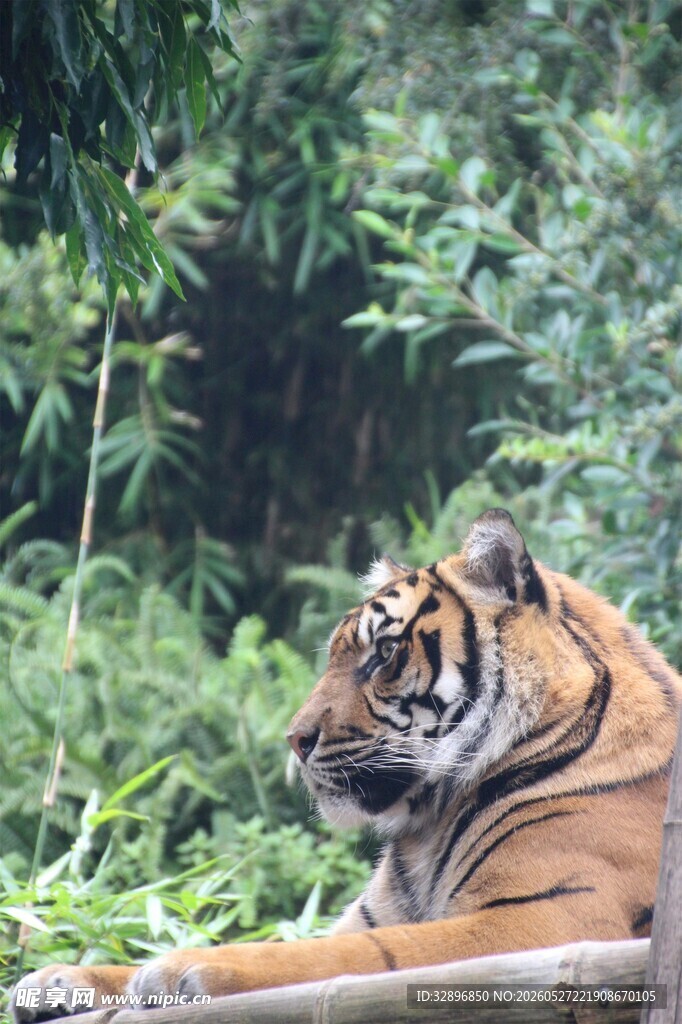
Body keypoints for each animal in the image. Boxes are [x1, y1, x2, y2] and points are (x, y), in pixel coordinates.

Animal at [11, 509, 682, 1021]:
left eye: (383, 653)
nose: (294, 738)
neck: (430, 825)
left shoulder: (544, 922)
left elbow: (333, 958)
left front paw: (182, 967)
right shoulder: (375, 916)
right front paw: (58, 979)